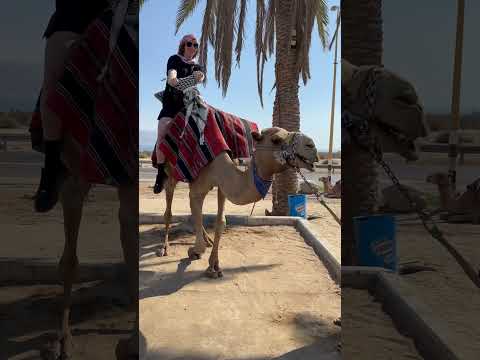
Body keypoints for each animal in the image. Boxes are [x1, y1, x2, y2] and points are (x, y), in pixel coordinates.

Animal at [159, 125, 320, 278]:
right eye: (276, 139)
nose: (312, 146)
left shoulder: (222, 186)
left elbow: (220, 222)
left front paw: (214, 266)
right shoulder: (198, 188)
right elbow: (198, 213)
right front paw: (194, 251)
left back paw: (208, 240)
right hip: (170, 173)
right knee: (169, 209)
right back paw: (164, 248)